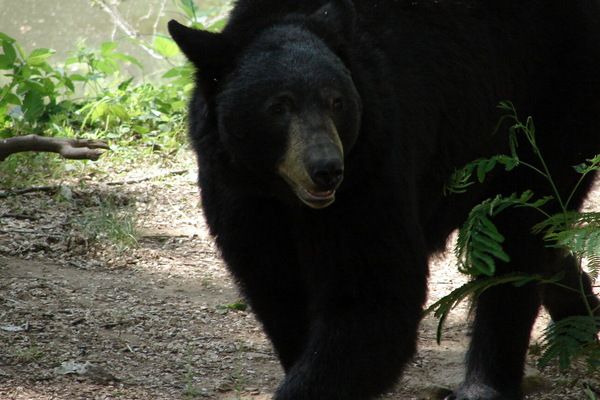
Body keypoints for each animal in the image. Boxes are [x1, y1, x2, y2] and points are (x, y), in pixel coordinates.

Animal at [168, 1, 600, 399]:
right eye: (278, 106)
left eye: (337, 101)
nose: (326, 169)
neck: (286, 197)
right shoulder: (238, 192)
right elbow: (276, 288)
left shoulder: (371, 170)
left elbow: (374, 300)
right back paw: (580, 311)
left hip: (550, 101)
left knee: (518, 240)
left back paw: (485, 384)